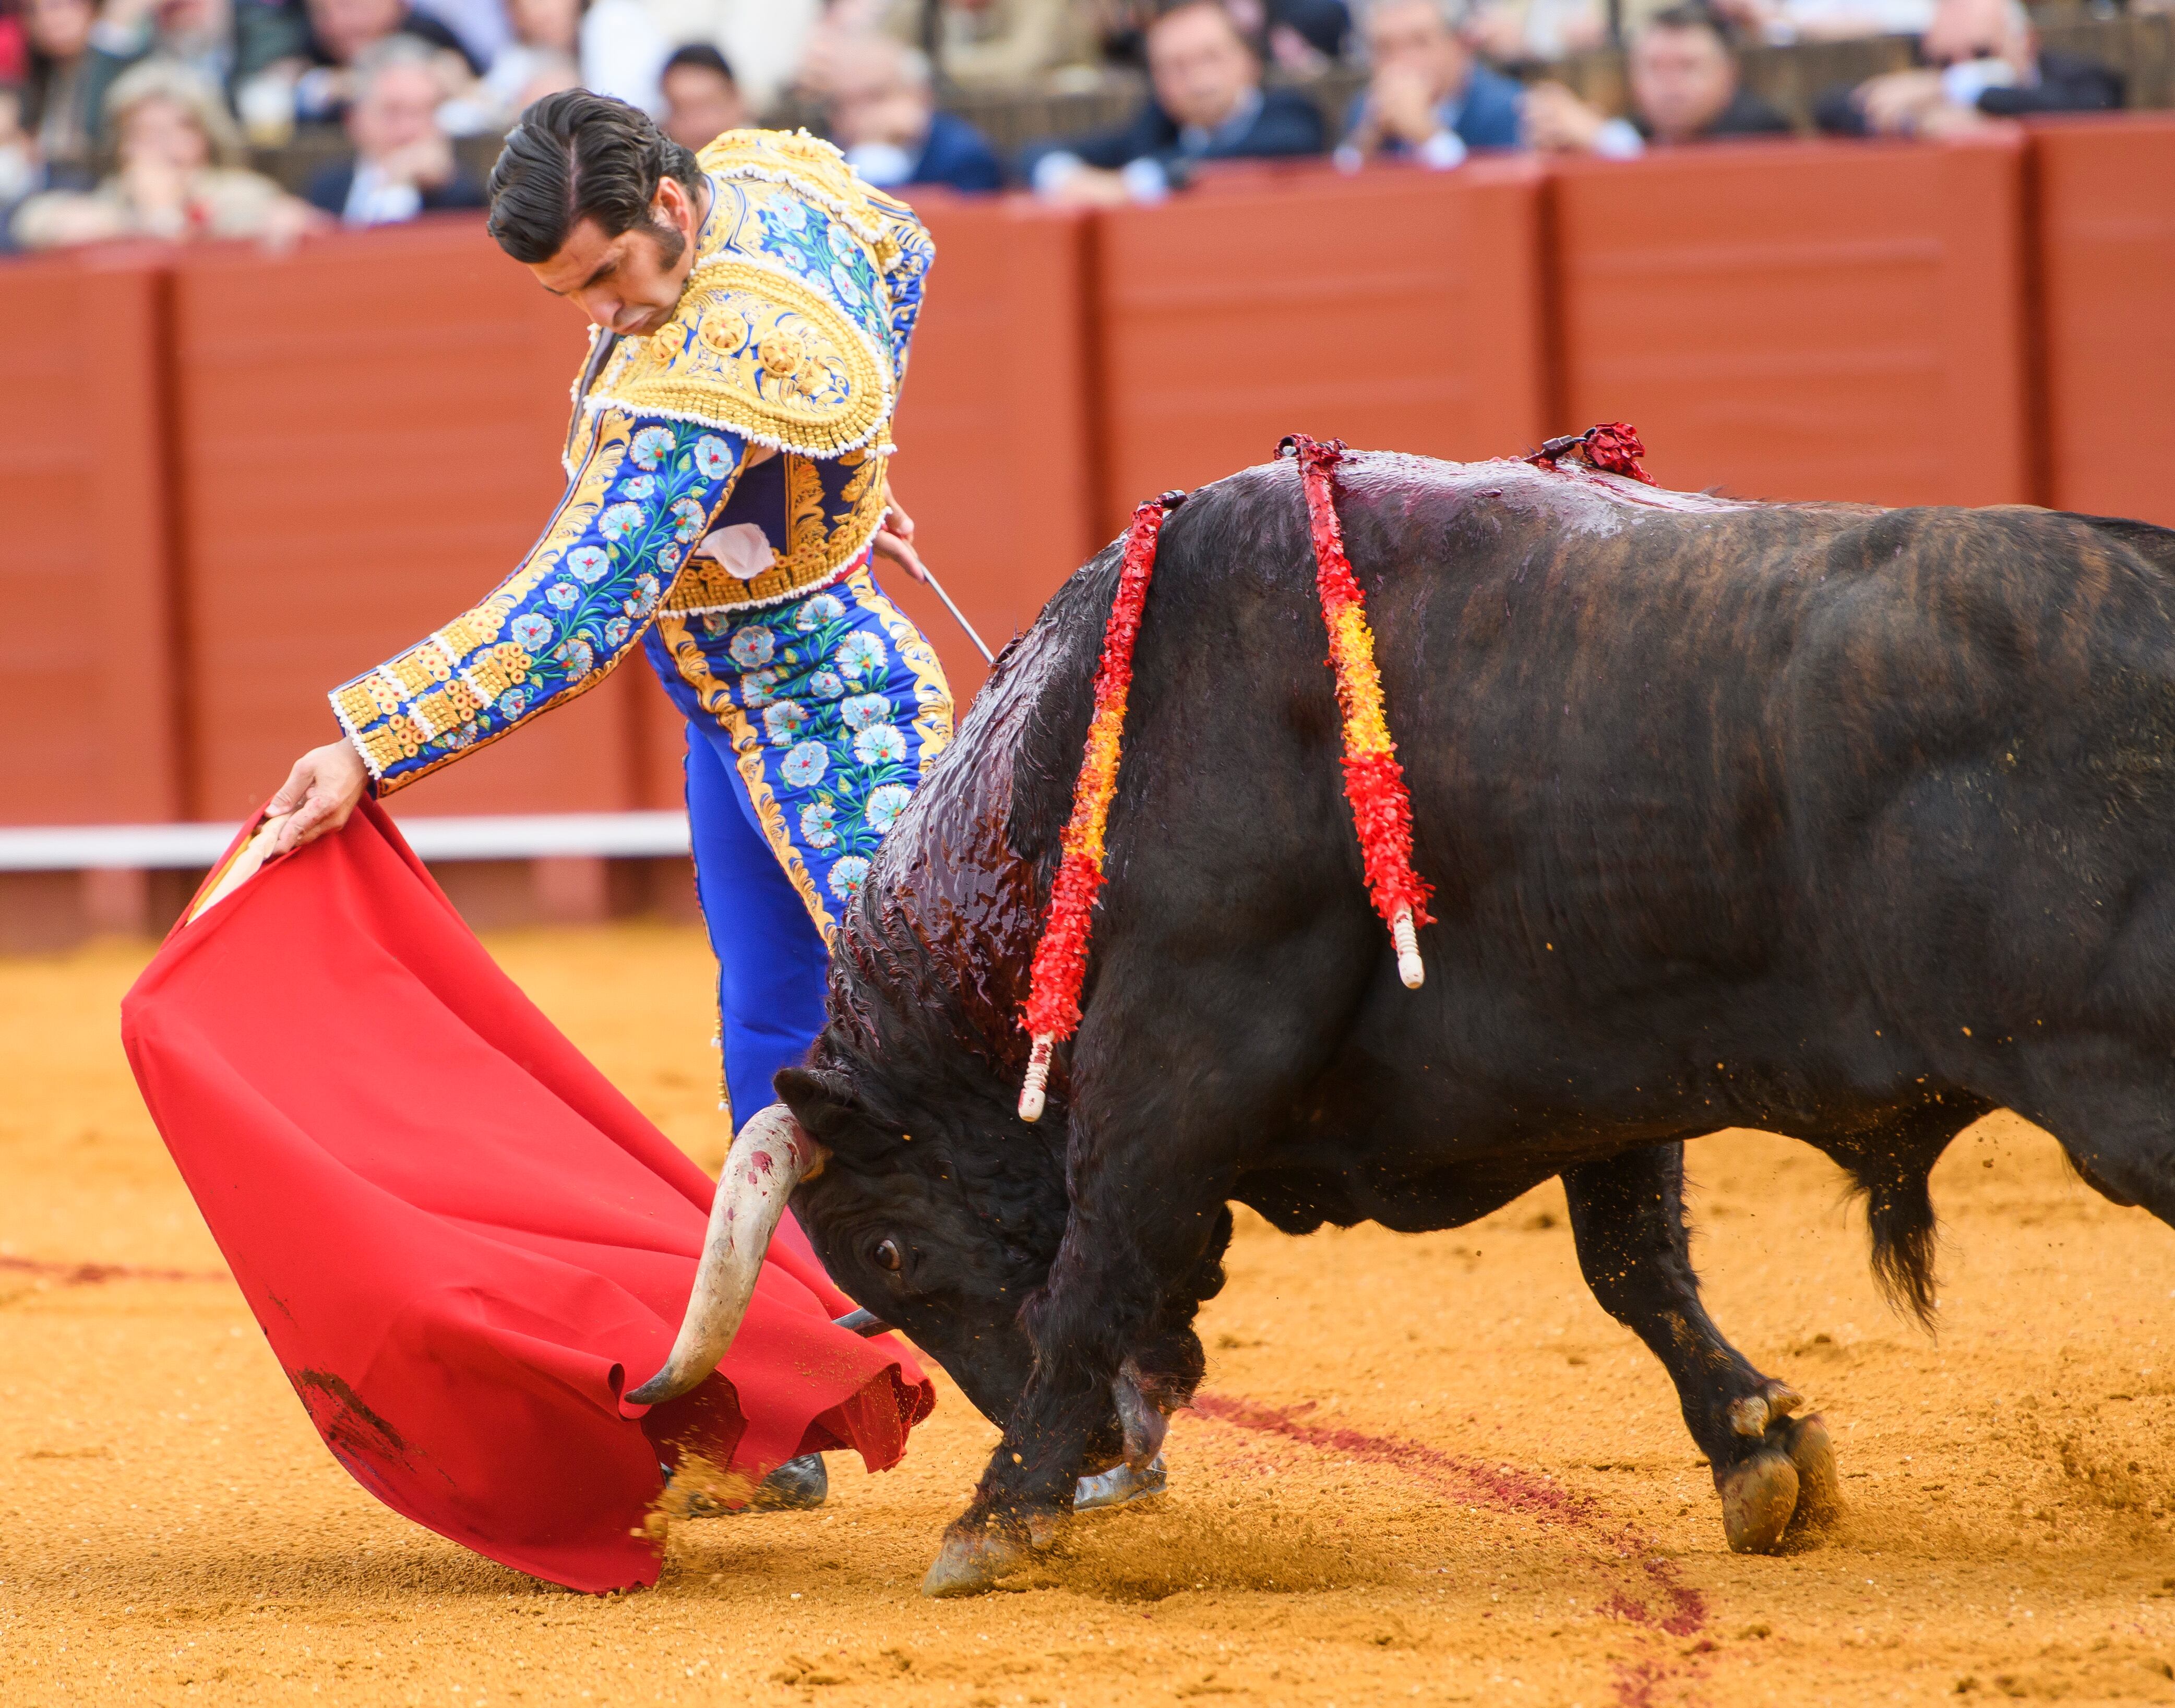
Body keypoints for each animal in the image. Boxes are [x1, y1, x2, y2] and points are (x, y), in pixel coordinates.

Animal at [622, 422, 2175, 1582]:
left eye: (887, 1253)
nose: (1117, 1457)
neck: (1078, 770)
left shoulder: (1183, 1038)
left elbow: (1097, 1262)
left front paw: (994, 1516)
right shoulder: (1604, 1061)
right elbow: (1636, 1270)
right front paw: (1760, 1453)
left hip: (2121, 1086)